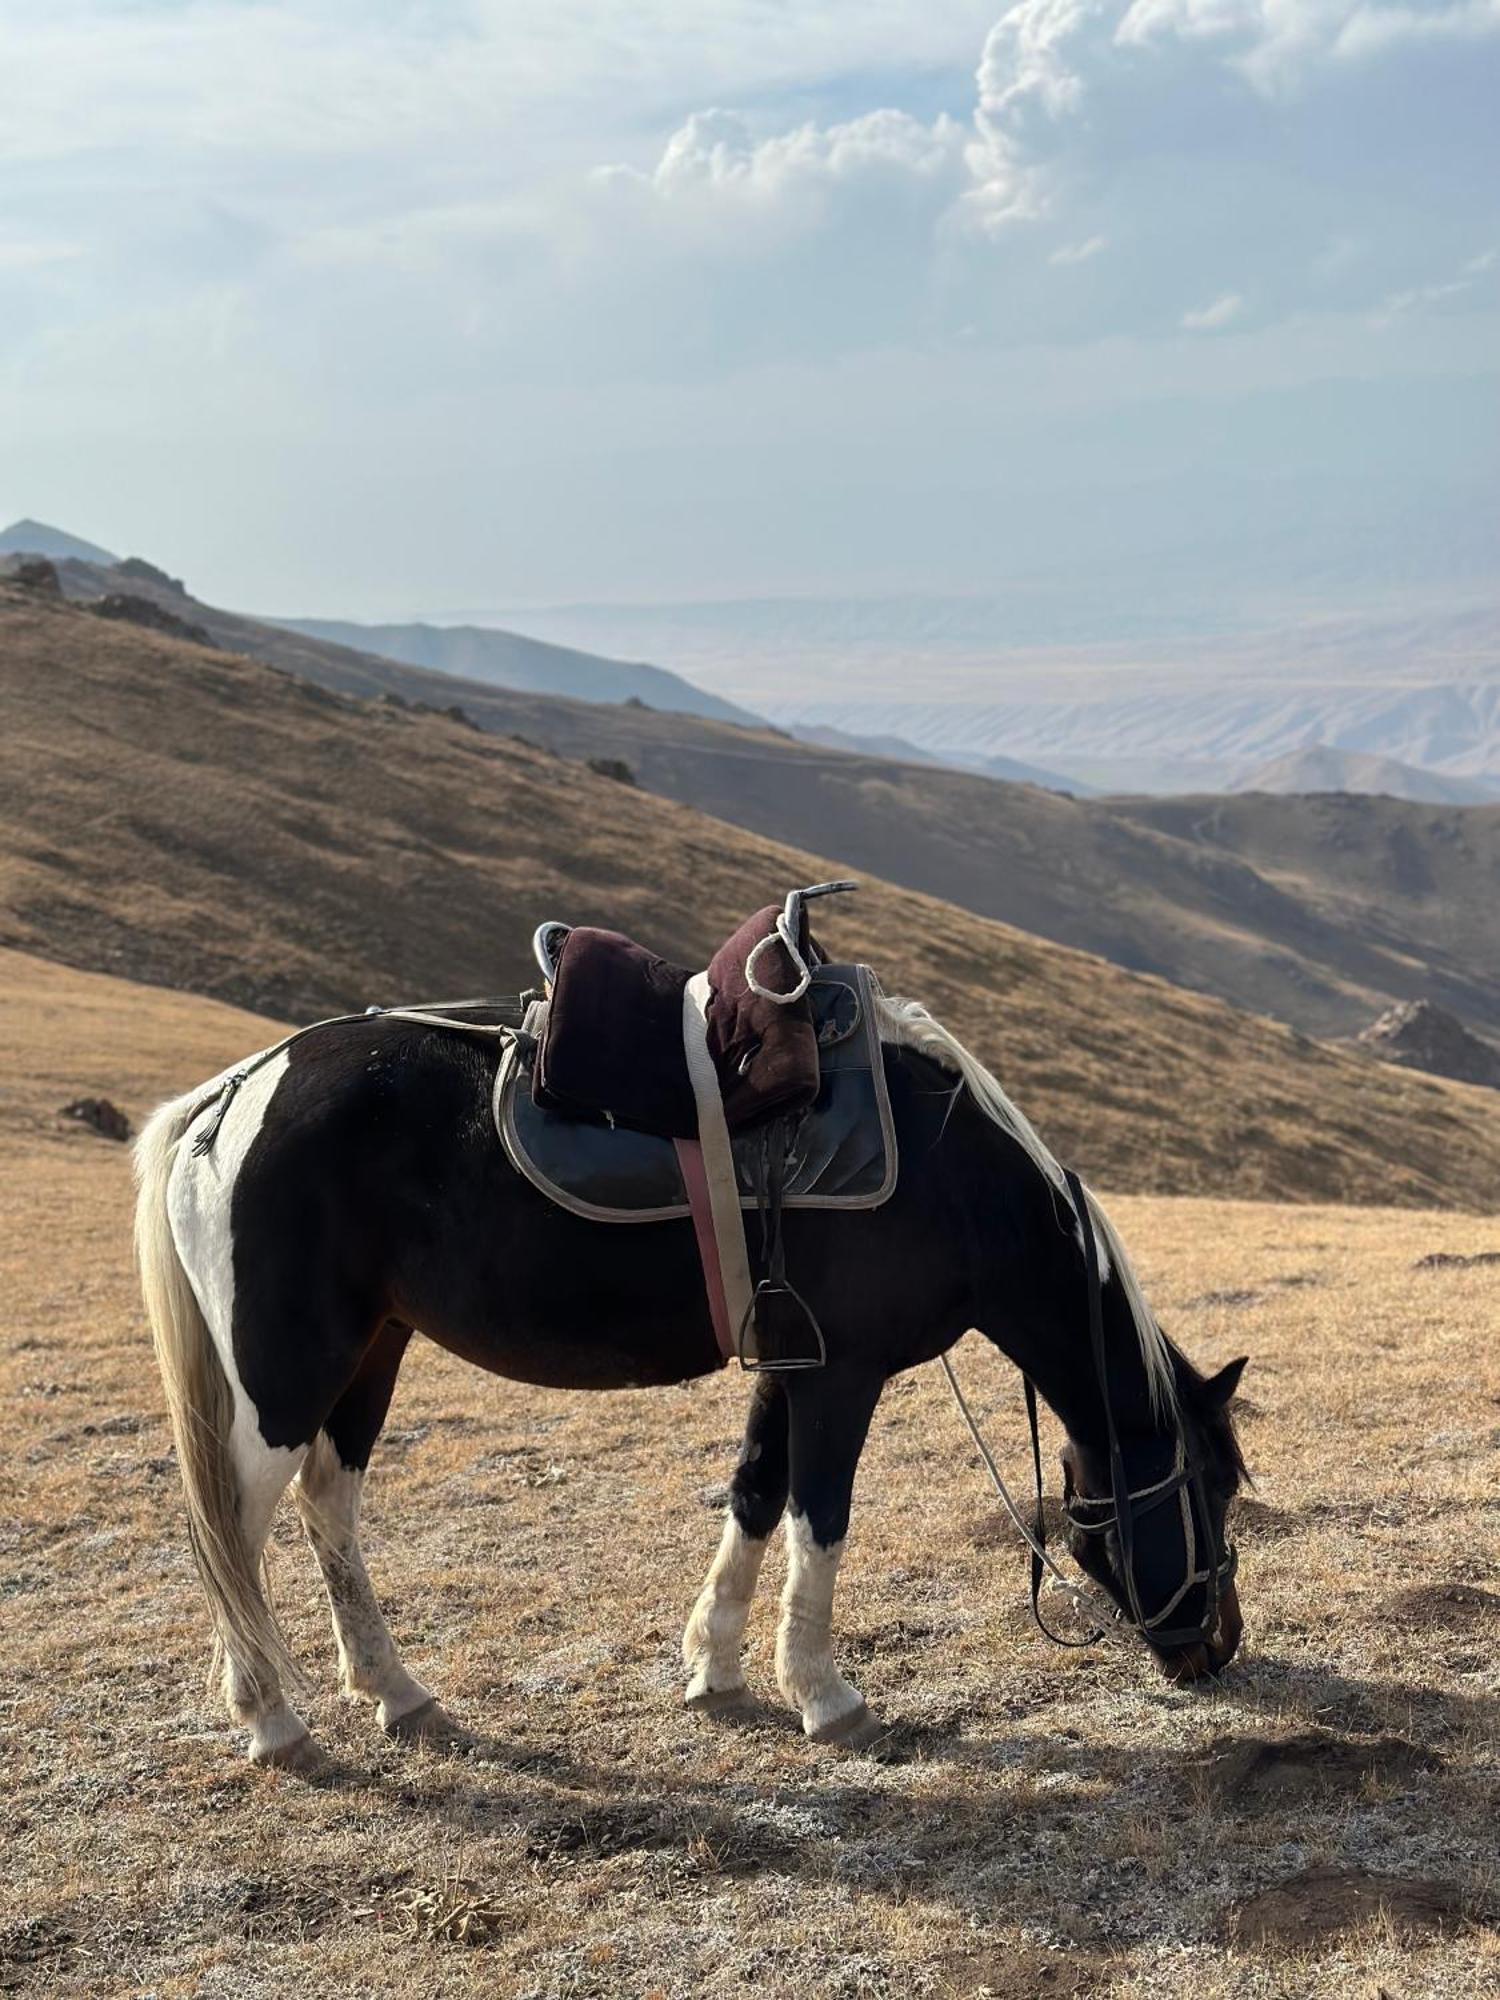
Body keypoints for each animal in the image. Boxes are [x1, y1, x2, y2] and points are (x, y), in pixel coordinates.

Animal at [138, 988, 1248, 1768]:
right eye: (1210, 1485)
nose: (1220, 1644)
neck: (951, 1173)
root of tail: (230, 1095)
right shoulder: (843, 1376)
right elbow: (818, 1519)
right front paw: (824, 1695)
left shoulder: (790, 1364)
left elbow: (755, 1493)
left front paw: (713, 1668)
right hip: (286, 1376)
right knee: (232, 1533)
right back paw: (272, 1718)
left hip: (373, 1350)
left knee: (329, 1504)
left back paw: (394, 1689)